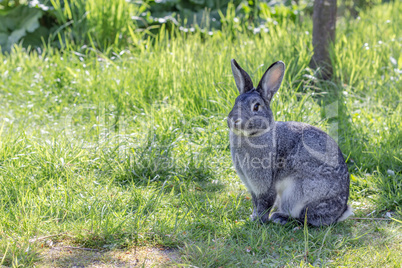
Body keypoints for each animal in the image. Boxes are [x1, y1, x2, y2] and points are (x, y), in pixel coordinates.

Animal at [228, 59, 354, 225]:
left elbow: (265, 203)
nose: (233, 120)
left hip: (299, 193)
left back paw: (281, 218)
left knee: (305, 218)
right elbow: (255, 203)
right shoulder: (251, 186)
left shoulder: (265, 184)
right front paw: (253, 217)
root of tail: (340, 212)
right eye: (235, 102)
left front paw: (259, 221)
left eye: (256, 107)